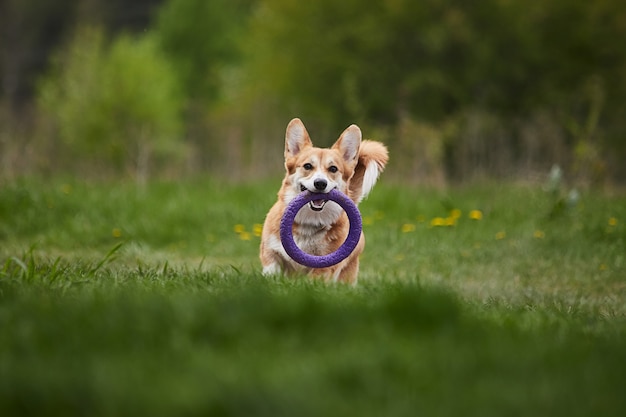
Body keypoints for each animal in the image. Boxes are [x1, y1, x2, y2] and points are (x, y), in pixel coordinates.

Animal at [258, 118, 386, 284]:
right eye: (307, 166)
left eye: (333, 169)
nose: (320, 183)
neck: (309, 221)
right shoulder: (271, 253)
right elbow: (272, 270)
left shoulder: (325, 265)